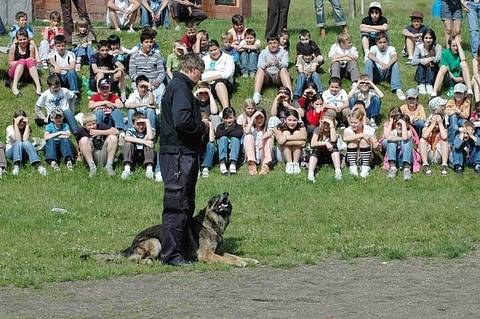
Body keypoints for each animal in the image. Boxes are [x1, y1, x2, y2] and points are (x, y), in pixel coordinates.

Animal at [84, 194, 260, 268]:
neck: (212, 223)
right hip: (155, 243)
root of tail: (131, 244)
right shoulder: (207, 255)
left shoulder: (217, 251)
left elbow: (233, 255)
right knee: (136, 260)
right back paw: (148, 262)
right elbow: (226, 259)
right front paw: (240, 263)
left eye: (225, 197)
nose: (226, 193)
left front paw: (249, 259)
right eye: (216, 197)